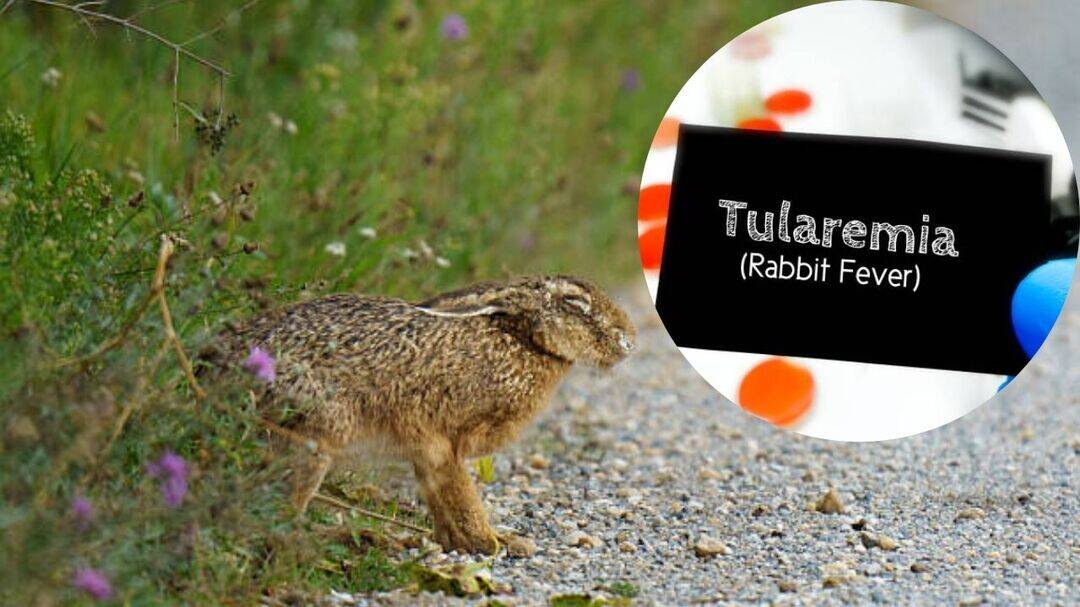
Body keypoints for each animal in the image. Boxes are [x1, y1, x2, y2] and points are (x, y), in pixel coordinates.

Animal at [218, 275, 635, 554]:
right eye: (574, 302)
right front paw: (493, 543)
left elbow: (440, 496)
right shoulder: (441, 441)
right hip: (314, 437)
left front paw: (458, 542)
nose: (628, 338)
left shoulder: (425, 449)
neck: (521, 340)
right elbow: (461, 493)